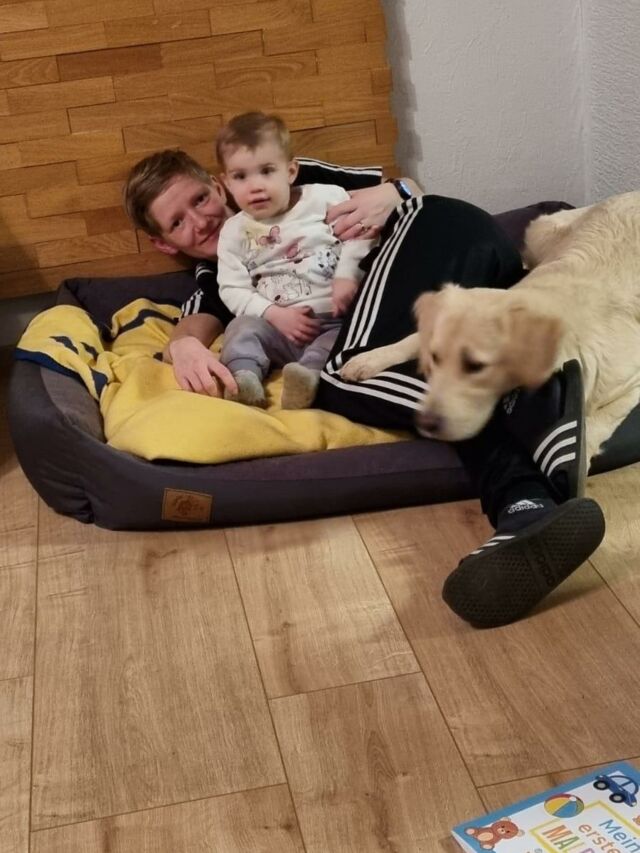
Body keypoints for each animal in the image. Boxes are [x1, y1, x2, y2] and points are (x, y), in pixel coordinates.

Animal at [339, 191, 640, 464]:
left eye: (476, 367)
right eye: (435, 358)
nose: (425, 422)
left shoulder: (632, 382)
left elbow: (601, 418)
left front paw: (582, 450)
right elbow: (411, 339)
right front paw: (367, 359)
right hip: (542, 229)